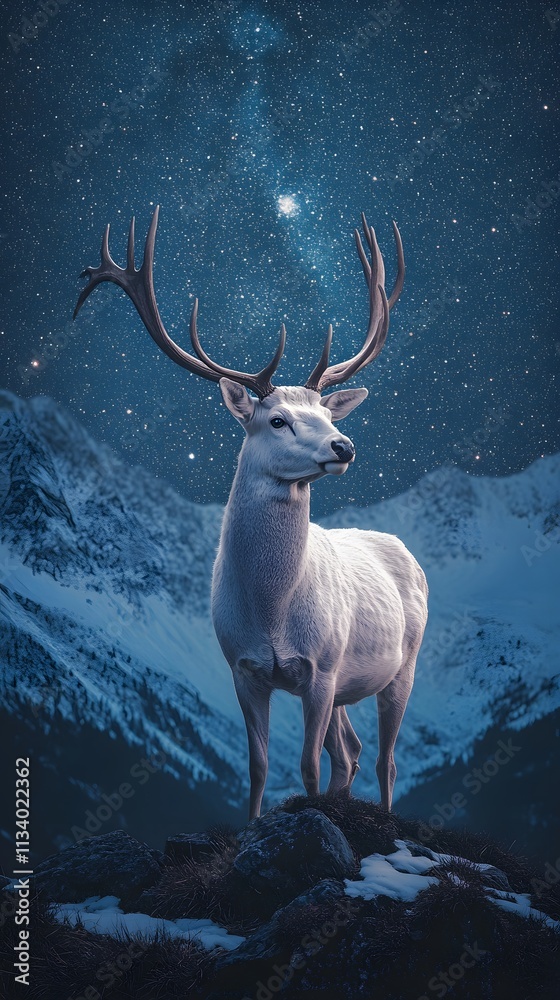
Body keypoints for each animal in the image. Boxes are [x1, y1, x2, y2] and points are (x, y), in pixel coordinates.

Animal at [74, 206, 428, 820]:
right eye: (277, 420)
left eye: (325, 415)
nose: (344, 446)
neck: (271, 613)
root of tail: (408, 553)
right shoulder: (242, 669)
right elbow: (259, 768)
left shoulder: (320, 668)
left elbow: (307, 767)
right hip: (348, 684)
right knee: (352, 753)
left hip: (401, 665)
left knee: (385, 759)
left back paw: (383, 817)